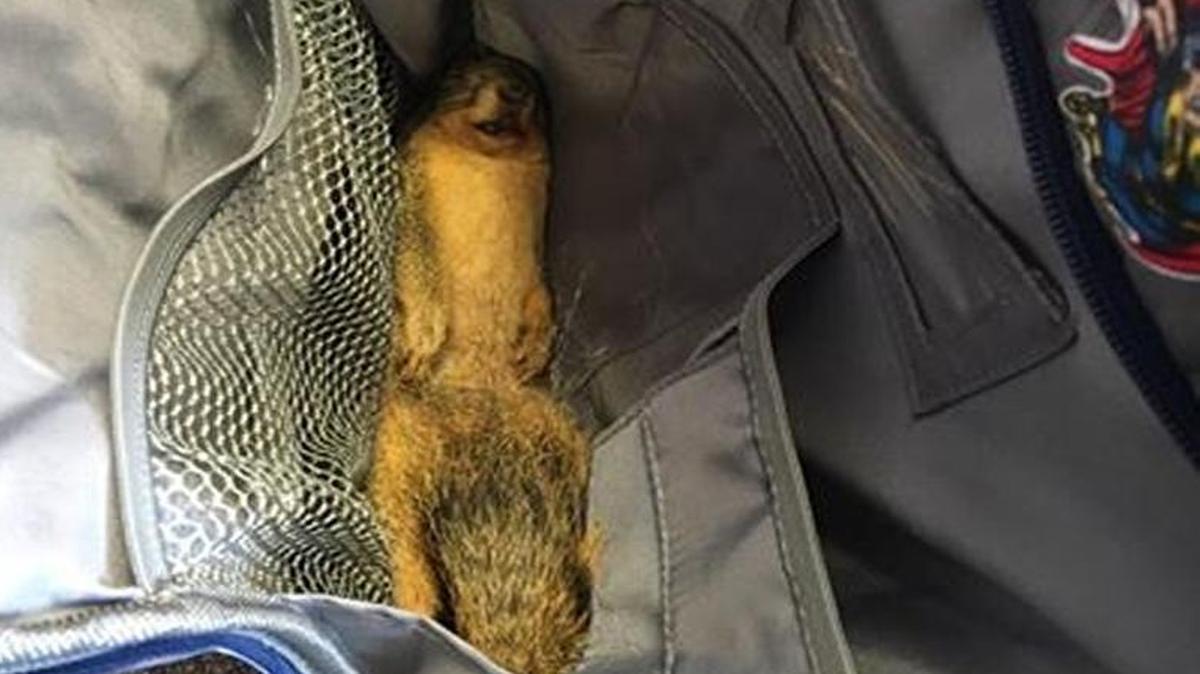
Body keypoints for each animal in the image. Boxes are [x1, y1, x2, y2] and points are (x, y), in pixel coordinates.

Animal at [368, 52, 597, 674]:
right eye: (455, 75)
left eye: (537, 85)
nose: (517, 89)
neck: (487, 162)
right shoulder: (411, 194)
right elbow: (417, 260)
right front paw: (424, 335)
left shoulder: (537, 257)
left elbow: (542, 294)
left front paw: (535, 344)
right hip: (396, 450)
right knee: (405, 546)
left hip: (557, 435)